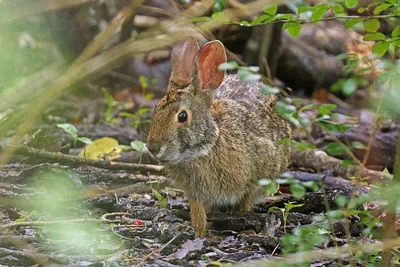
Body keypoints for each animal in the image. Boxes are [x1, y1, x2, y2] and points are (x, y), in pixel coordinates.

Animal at [147, 36, 290, 238]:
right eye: (155, 110)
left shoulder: (257, 174)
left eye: (182, 116)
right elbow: (198, 213)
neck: (206, 147)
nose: (152, 147)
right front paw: (199, 233)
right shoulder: (195, 192)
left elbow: (245, 200)